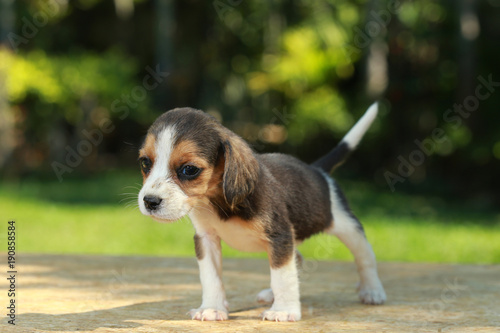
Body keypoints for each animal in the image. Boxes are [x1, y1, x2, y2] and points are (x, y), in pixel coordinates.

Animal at [138, 102, 386, 320]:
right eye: (145, 163)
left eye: (189, 170)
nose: (149, 201)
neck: (219, 201)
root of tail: (317, 171)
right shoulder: (206, 239)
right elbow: (210, 277)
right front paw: (212, 308)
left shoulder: (280, 236)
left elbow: (282, 276)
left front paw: (283, 311)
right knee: (297, 259)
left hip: (348, 228)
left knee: (365, 258)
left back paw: (372, 290)